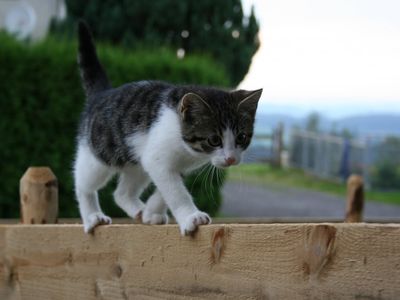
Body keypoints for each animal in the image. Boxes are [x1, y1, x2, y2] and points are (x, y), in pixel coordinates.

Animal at [74, 21, 262, 236]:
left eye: (241, 137)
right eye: (214, 140)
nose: (231, 158)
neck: (188, 150)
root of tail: (101, 94)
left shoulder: (167, 163)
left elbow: (165, 189)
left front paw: (152, 212)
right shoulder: (157, 159)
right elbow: (175, 190)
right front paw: (191, 217)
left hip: (135, 161)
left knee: (121, 192)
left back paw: (139, 209)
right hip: (98, 154)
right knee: (83, 183)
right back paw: (92, 216)